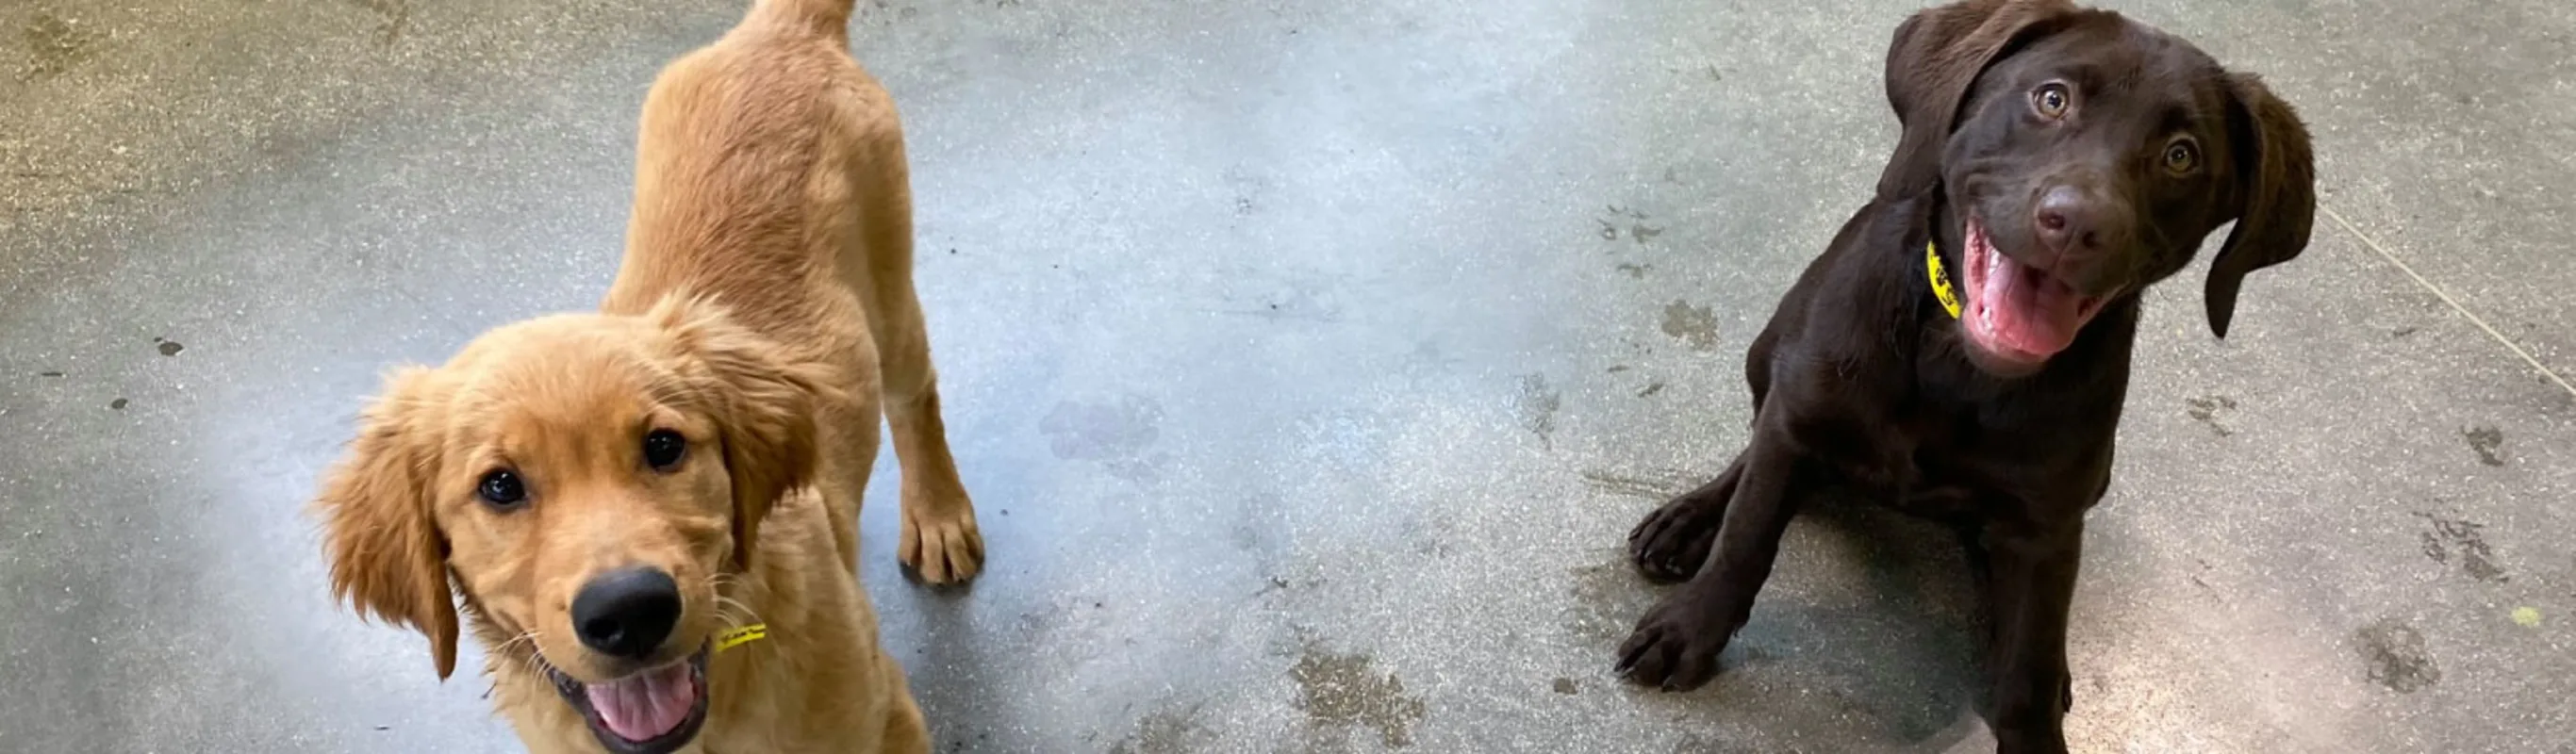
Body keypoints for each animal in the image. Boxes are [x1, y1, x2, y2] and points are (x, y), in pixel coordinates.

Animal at [304, 1, 983, 751]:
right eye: (499, 487)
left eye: (664, 446)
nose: (629, 612)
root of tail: (780, 31)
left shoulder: (889, 717)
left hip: (891, 296)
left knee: (915, 397)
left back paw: (939, 516)